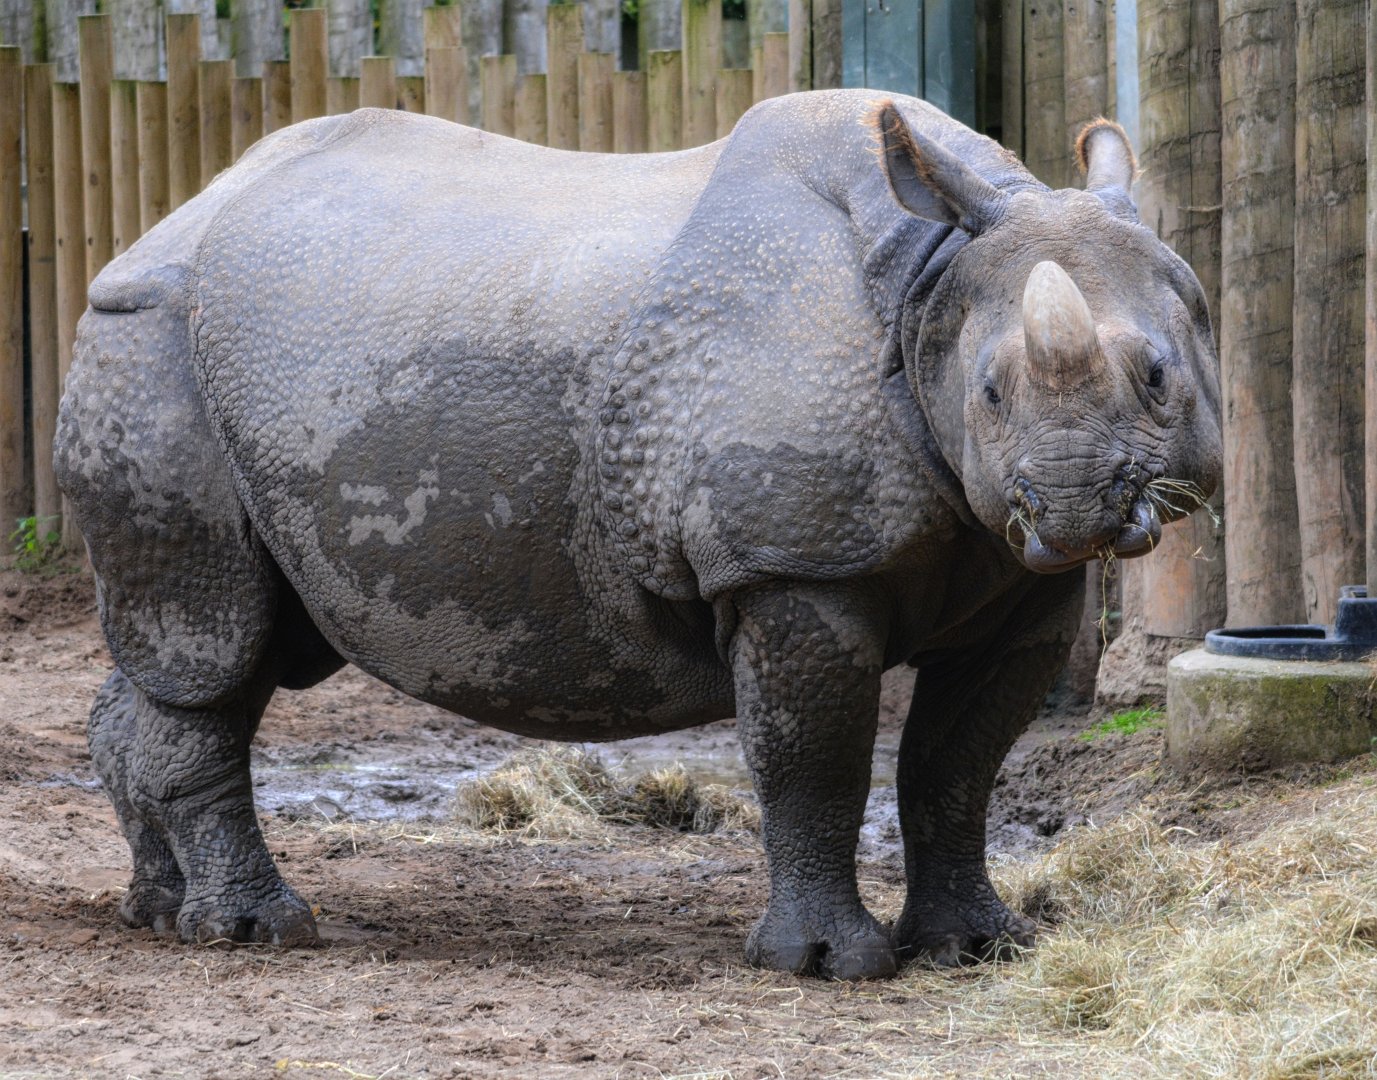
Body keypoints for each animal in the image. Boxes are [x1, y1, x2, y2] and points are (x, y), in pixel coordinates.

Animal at [55, 90, 1221, 980]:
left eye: (1159, 377)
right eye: (986, 392)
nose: (1072, 505)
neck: (926, 279)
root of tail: (162, 224)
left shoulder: (1015, 582)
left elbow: (957, 766)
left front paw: (979, 948)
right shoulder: (790, 568)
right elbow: (816, 760)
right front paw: (824, 967)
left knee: (225, 650)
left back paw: (156, 912)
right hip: (146, 346)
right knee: (211, 642)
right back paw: (257, 933)